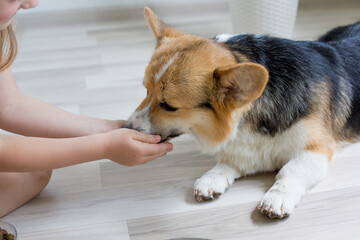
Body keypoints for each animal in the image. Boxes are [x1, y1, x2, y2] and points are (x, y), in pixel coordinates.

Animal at [124, 6, 360, 218]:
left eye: (169, 106)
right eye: (146, 90)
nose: (126, 128)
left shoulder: (317, 148)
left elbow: (291, 170)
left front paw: (277, 198)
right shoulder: (247, 150)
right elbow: (228, 163)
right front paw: (212, 178)